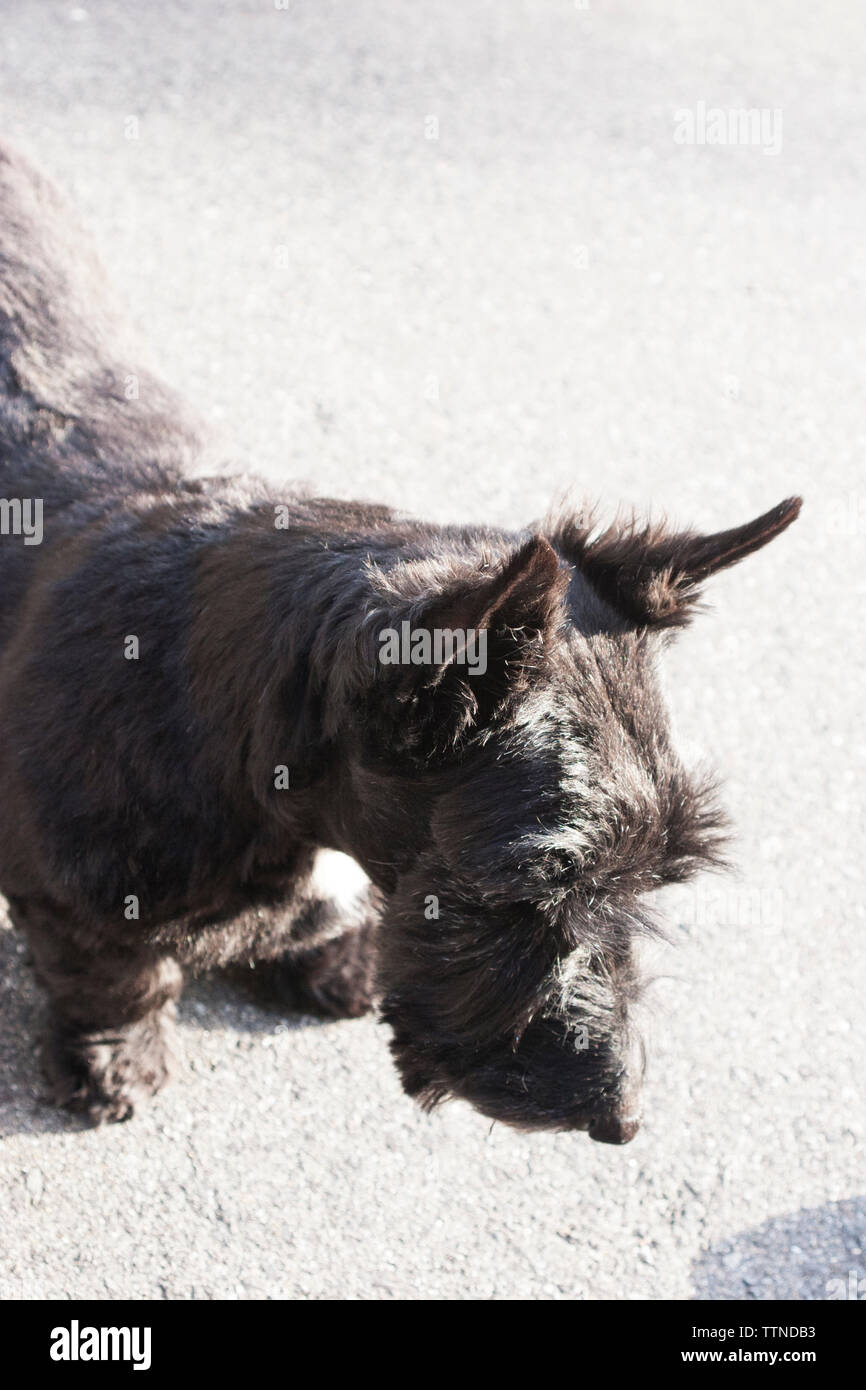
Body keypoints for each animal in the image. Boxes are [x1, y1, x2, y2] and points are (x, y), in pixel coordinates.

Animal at [0, 141, 800, 1139]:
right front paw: (118, 1058)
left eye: (663, 869)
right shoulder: (73, 895)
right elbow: (116, 973)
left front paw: (329, 956)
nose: (623, 1116)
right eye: (529, 888)